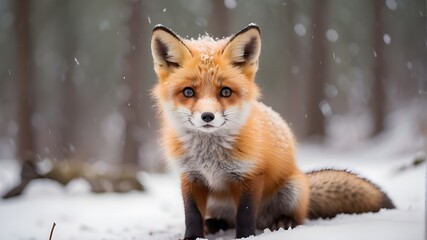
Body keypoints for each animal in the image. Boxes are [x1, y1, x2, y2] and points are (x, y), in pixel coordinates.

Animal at [151, 23, 398, 239]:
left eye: (225, 92)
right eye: (188, 92)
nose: (207, 117)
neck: (209, 156)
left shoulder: (251, 175)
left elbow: (245, 214)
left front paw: (246, 237)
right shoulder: (190, 176)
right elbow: (192, 215)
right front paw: (193, 237)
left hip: (291, 190)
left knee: (291, 217)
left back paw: (283, 221)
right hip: (217, 202)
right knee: (226, 220)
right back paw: (214, 224)